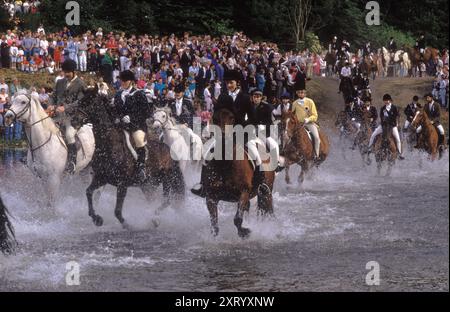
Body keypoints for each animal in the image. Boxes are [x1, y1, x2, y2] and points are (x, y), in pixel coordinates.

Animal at [75, 86, 185, 228]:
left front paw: (126, 224)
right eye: (81, 101)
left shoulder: (122, 184)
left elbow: (117, 211)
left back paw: (155, 217)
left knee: (166, 200)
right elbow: (88, 192)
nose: (74, 120)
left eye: (89, 103)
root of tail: (168, 149)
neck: (109, 145)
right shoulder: (101, 178)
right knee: (155, 199)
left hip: (167, 178)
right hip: (148, 184)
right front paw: (97, 219)